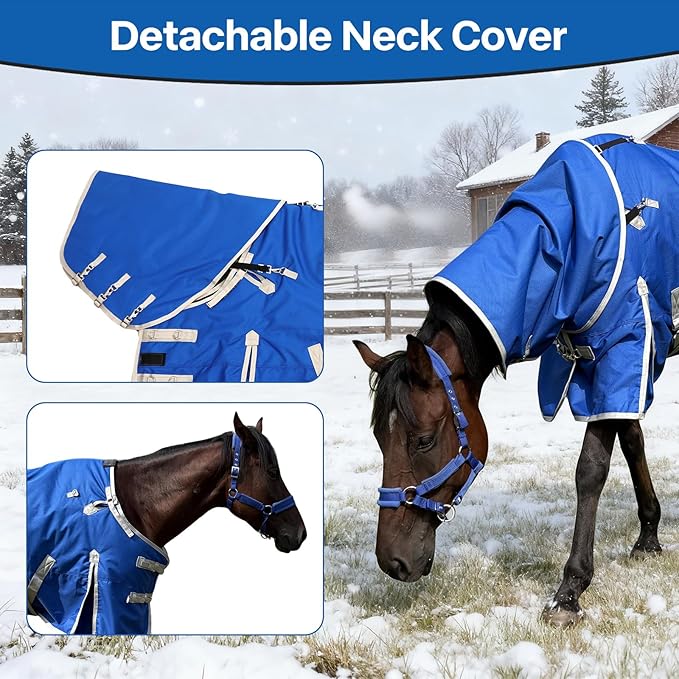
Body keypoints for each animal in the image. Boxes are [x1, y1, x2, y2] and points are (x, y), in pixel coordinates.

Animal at [354, 134, 677, 628]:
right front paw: (648, 536)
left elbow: (591, 470)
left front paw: (569, 592)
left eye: (423, 440)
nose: (392, 562)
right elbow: (632, 439)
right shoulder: (603, 363)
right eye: (377, 439)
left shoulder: (625, 344)